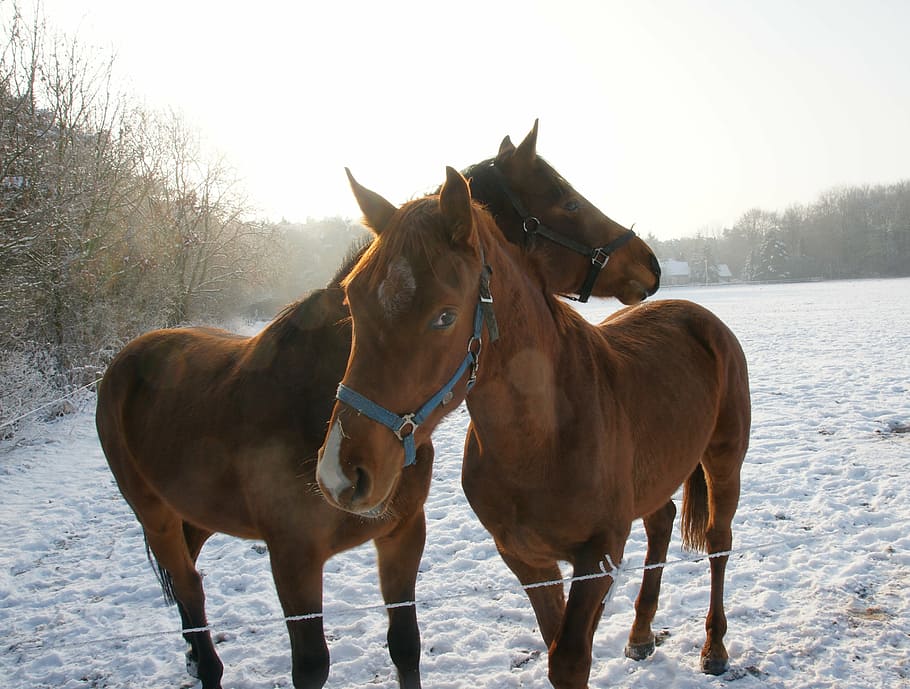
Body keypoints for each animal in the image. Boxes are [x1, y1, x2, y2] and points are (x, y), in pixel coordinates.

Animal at [95, 122, 662, 689]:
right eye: (569, 201)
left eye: (444, 315)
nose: (649, 262)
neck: (305, 396)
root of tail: (126, 358)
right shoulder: (294, 561)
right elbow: (312, 667)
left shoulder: (402, 536)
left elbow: (405, 645)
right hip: (156, 519)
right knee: (191, 596)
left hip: (194, 517)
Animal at [316, 166, 751, 689]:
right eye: (351, 302)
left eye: (445, 315)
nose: (341, 473)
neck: (542, 439)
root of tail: (699, 315)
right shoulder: (527, 559)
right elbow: (554, 643)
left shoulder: (598, 555)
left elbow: (570, 659)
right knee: (661, 521)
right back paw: (641, 633)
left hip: (724, 464)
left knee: (719, 543)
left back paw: (715, 647)